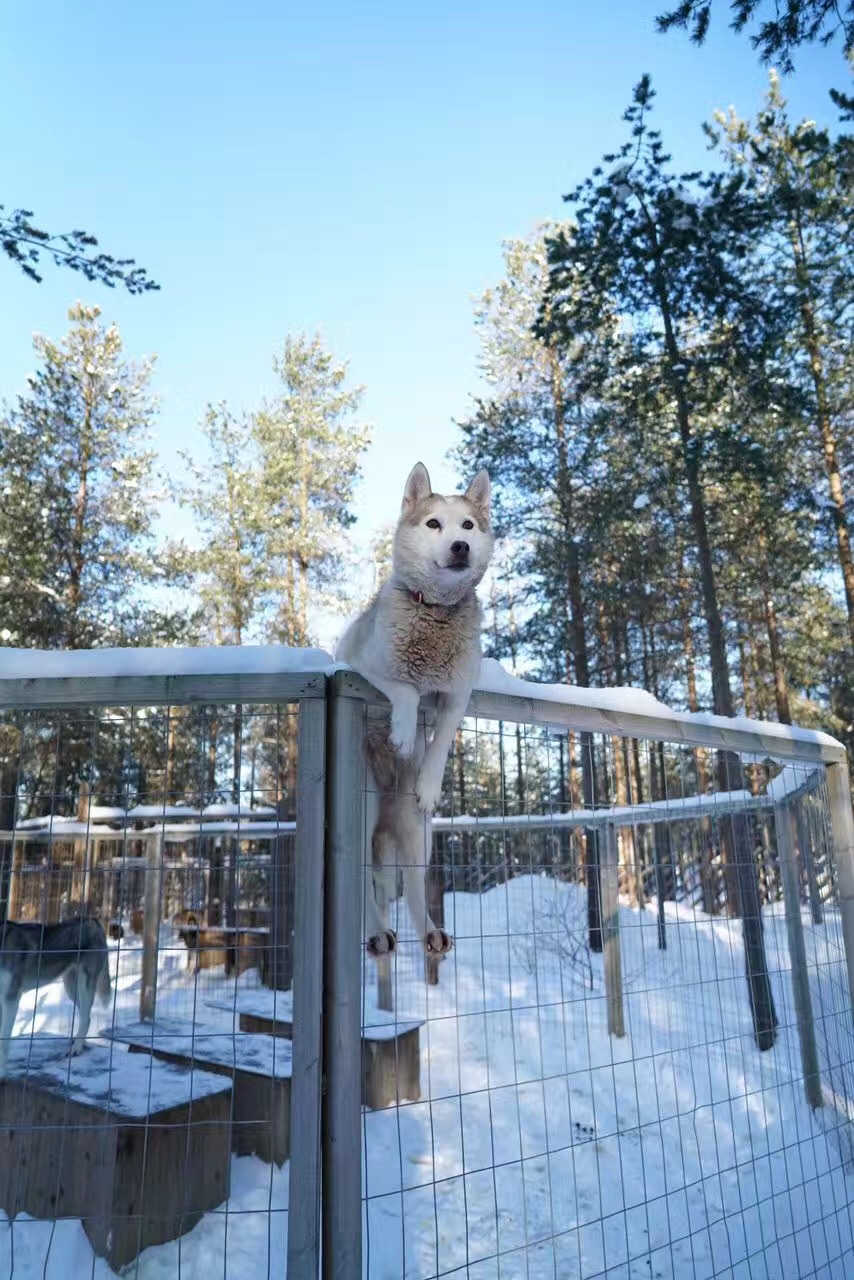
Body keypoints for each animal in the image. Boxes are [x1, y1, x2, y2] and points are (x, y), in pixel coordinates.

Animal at [0, 916, 111, 1075]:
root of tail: (91, 920)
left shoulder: (11, 998)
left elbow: (4, 1041)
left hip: (84, 984)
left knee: (85, 1017)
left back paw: (76, 1048)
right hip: (71, 988)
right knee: (87, 1016)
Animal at [335, 465, 494, 957]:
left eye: (467, 525)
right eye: (433, 524)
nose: (460, 546)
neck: (435, 615)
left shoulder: (459, 693)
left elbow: (441, 740)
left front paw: (428, 782)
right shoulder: (362, 668)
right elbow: (404, 688)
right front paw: (403, 734)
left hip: (417, 834)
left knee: (414, 886)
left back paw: (429, 931)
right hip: (362, 816)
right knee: (365, 886)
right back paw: (375, 932)